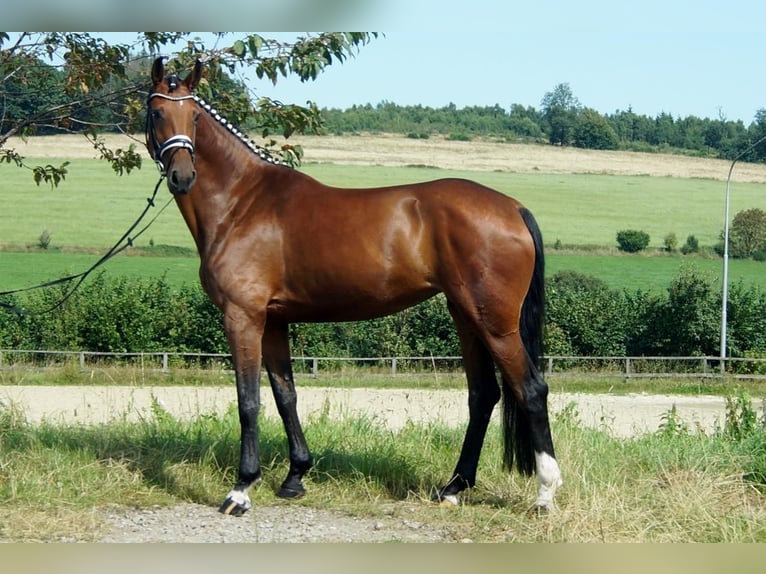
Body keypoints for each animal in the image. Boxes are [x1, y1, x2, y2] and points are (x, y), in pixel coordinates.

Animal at [146, 58, 564, 516]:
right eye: (157, 112)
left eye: (195, 116)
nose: (182, 176)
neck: (242, 203)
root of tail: (514, 208)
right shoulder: (273, 321)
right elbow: (285, 394)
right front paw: (295, 477)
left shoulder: (243, 316)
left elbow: (248, 400)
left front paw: (241, 489)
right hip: (466, 316)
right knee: (483, 395)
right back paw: (453, 487)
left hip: (495, 324)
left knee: (530, 390)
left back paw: (545, 493)